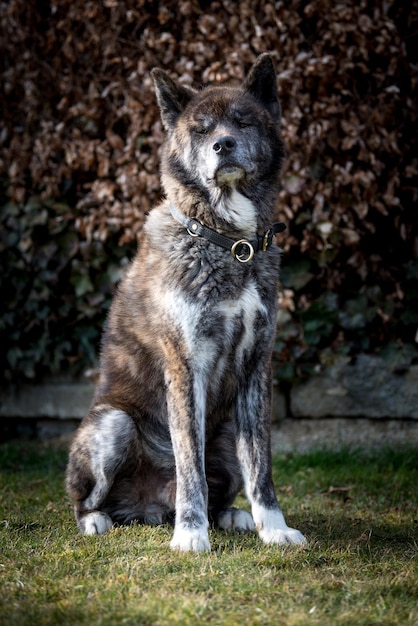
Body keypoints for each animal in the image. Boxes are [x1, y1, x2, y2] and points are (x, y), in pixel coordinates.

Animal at [66, 54, 306, 552]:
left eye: (243, 121)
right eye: (201, 129)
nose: (223, 144)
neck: (230, 243)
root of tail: (148, 510)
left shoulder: (256, 367)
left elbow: (261, 465)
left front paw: (274, 528)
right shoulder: (185, 364)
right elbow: (189, 463)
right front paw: (191, 535)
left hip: (227, 432)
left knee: (228, 480)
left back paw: (232, 517)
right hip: (112, 424)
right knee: (87, 498)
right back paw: (99, 520)